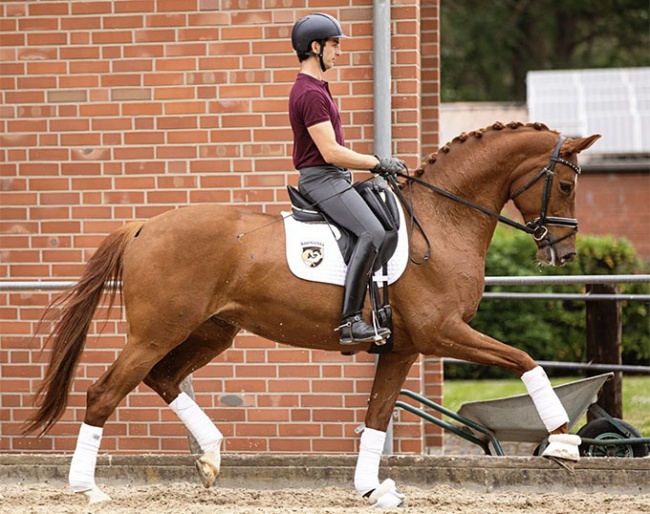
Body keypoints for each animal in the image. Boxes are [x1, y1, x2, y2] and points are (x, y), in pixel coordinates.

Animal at [27, 122, 600, 506]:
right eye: (566, 185)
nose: (566, 254)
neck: (442, 220)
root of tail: (143, 226)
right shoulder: (443, 334)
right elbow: (525, 360)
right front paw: (564, 442)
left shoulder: (404, 348)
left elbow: (376, 417)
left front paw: (372, 489)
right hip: (156, 332)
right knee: (104, 392)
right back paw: (88, 487)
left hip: (211, 332)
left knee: (163, 379)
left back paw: (210, 457)